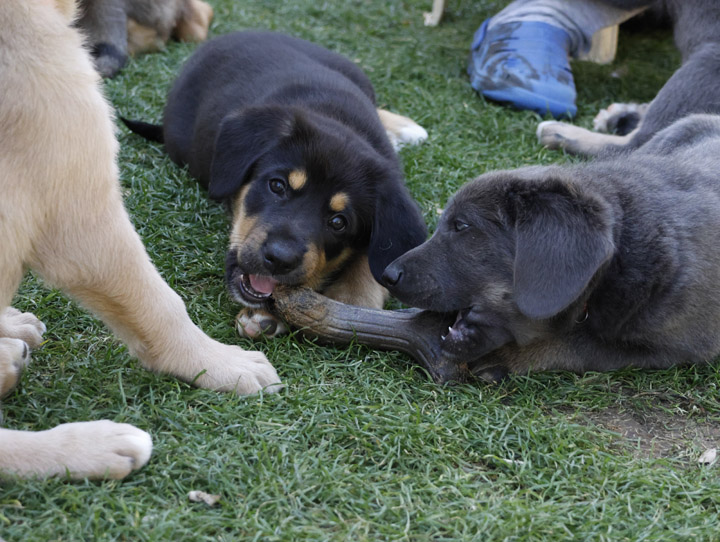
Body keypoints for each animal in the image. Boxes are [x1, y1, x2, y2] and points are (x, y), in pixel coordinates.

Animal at [386, 113, 720, 378]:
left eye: (462, 226)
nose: (388, 274)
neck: (620, 259)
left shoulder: (675, 345)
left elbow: (577, 345)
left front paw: (508, 356)